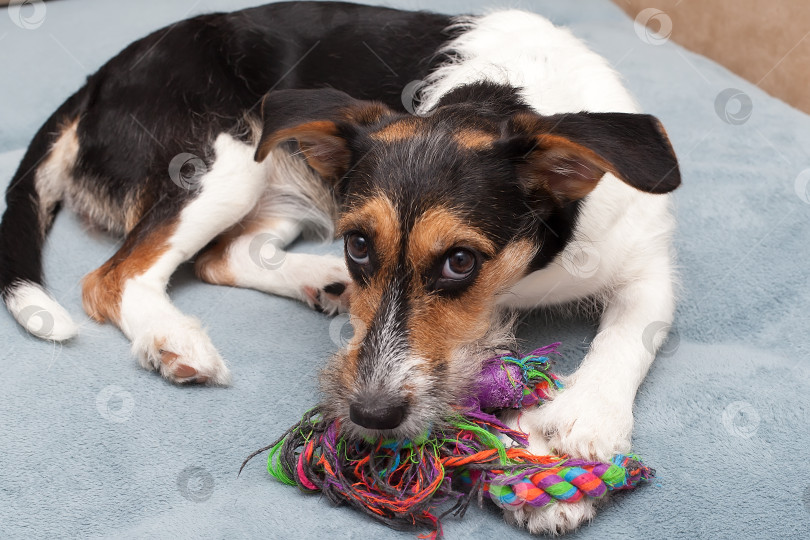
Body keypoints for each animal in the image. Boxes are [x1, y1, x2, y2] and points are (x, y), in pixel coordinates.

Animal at [0, 0, 680, 532]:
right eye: (358, 245)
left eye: (461, 261)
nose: (370, 416)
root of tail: (101, 78)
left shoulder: (649, 265)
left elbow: (631, 334)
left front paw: (579, 426)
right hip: (223, 157)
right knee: (112, 278)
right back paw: (174, 339)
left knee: (221, 257)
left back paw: (317, 281)